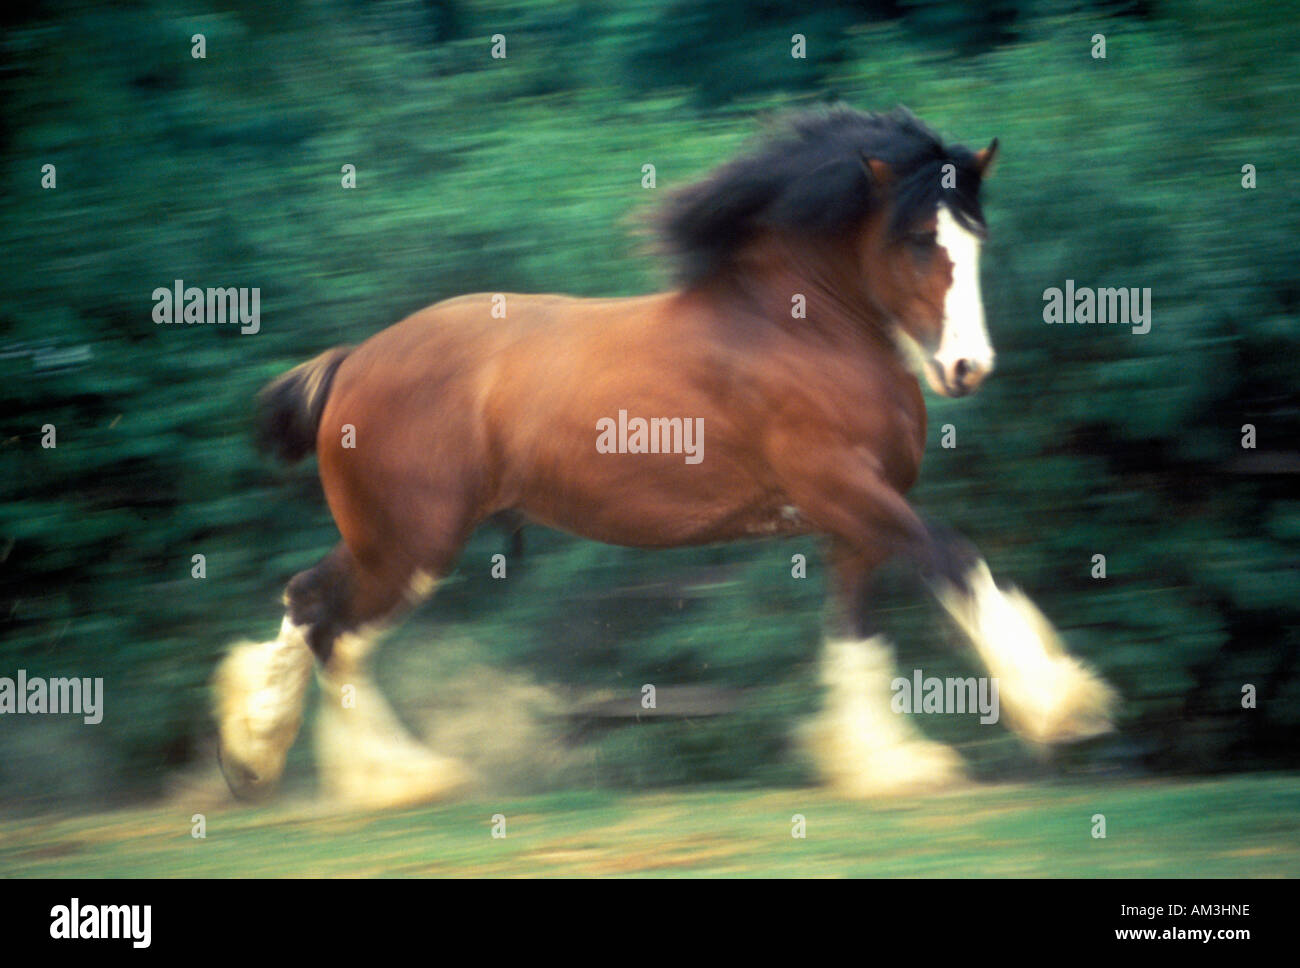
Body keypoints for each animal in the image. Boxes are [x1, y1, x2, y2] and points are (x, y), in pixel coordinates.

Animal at [213, 103, 1118, 805]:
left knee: (308, 603)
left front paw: (885, 765)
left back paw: (256, 755)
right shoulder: (845, 489)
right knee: (334, 625)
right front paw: (1063, 708)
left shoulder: (852, 522)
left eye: (976, 238)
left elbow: (856, 632)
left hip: (390, 537)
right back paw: (400, 778)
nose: (968, 369)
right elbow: (955, 558)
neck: (803, 328)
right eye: (919, 239)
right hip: (413, 540)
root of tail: (351, 363)